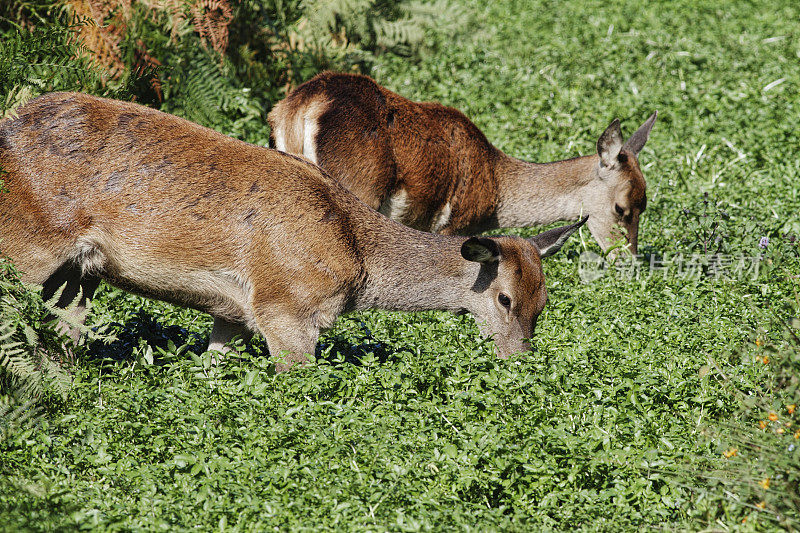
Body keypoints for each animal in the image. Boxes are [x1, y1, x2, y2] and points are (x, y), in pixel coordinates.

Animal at [1, 91, 588, 370]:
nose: (519, 360)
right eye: (506, 299)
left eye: (543, 303)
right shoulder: (285, 309)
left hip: (79, 275)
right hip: (27, 246)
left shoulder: (233, 312)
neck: (356, 261)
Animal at [268, 71, 656, 255]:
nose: (628, 260)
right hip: (356, 186)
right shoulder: (454, 224)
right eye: (621, 208)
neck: (495, 191)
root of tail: (300, 108)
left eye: (645, 203)